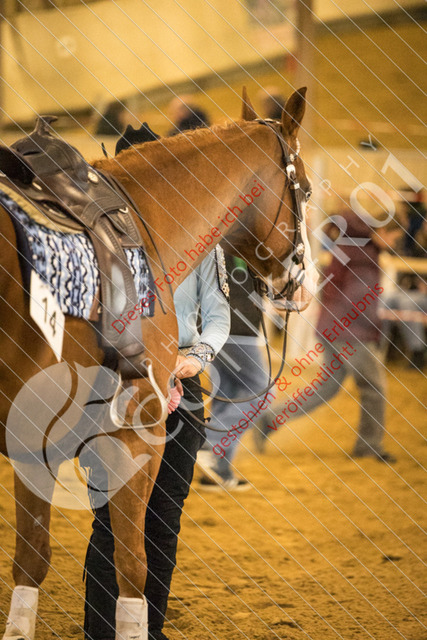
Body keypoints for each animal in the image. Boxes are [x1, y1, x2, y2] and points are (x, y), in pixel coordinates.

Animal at [0, 87, 317, 640]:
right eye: (311, 191)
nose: (303, 285)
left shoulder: (33, 446)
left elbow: (31, 561)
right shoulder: (135, 439)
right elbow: (133, 566)